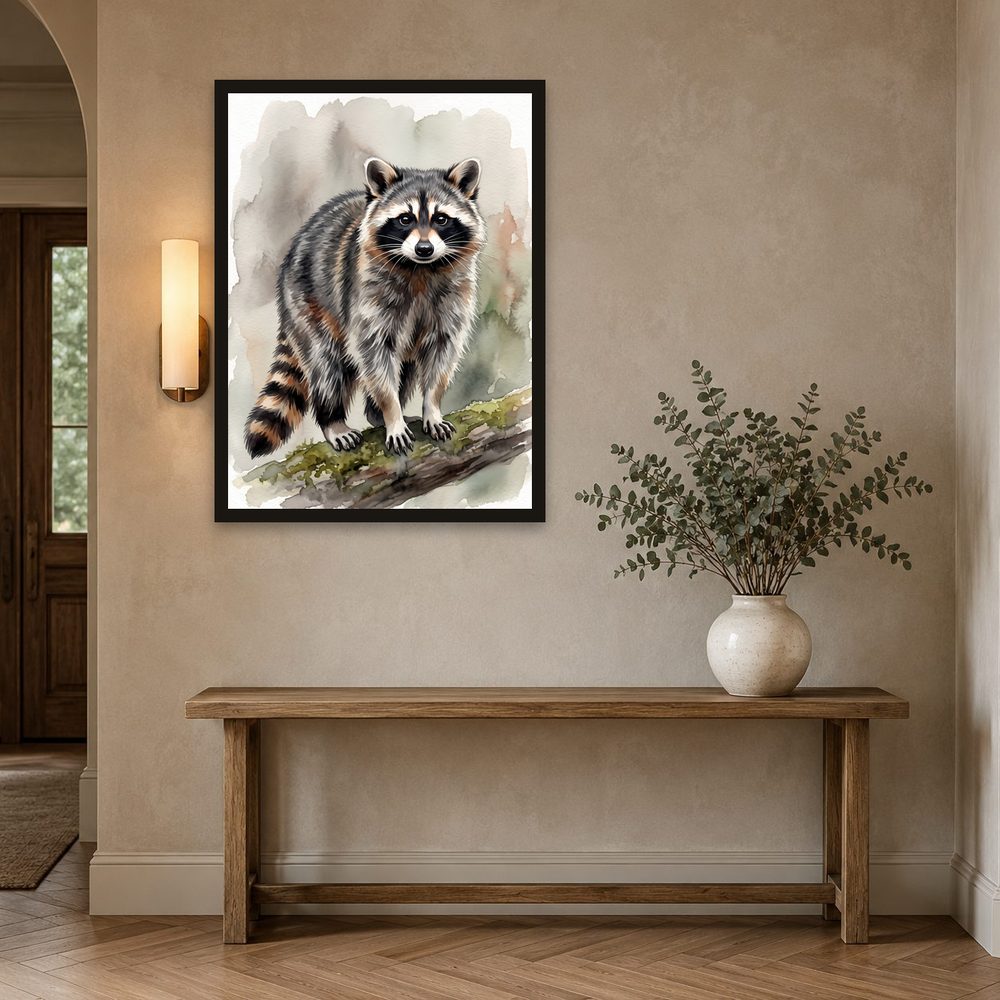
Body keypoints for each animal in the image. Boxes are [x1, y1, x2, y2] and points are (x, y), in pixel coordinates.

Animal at [244, 156, 486, 459]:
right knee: (327, 367)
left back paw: (375, 414)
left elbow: (442, 356)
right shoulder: (366, 297)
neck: (421, 269)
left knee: (404, 370)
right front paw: (391, 413)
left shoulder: (453, 299)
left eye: (441, 219)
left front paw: (431, 407)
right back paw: (333, 420)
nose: (424, 248)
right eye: (405, 219)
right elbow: (374, 356)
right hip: (307, 304)